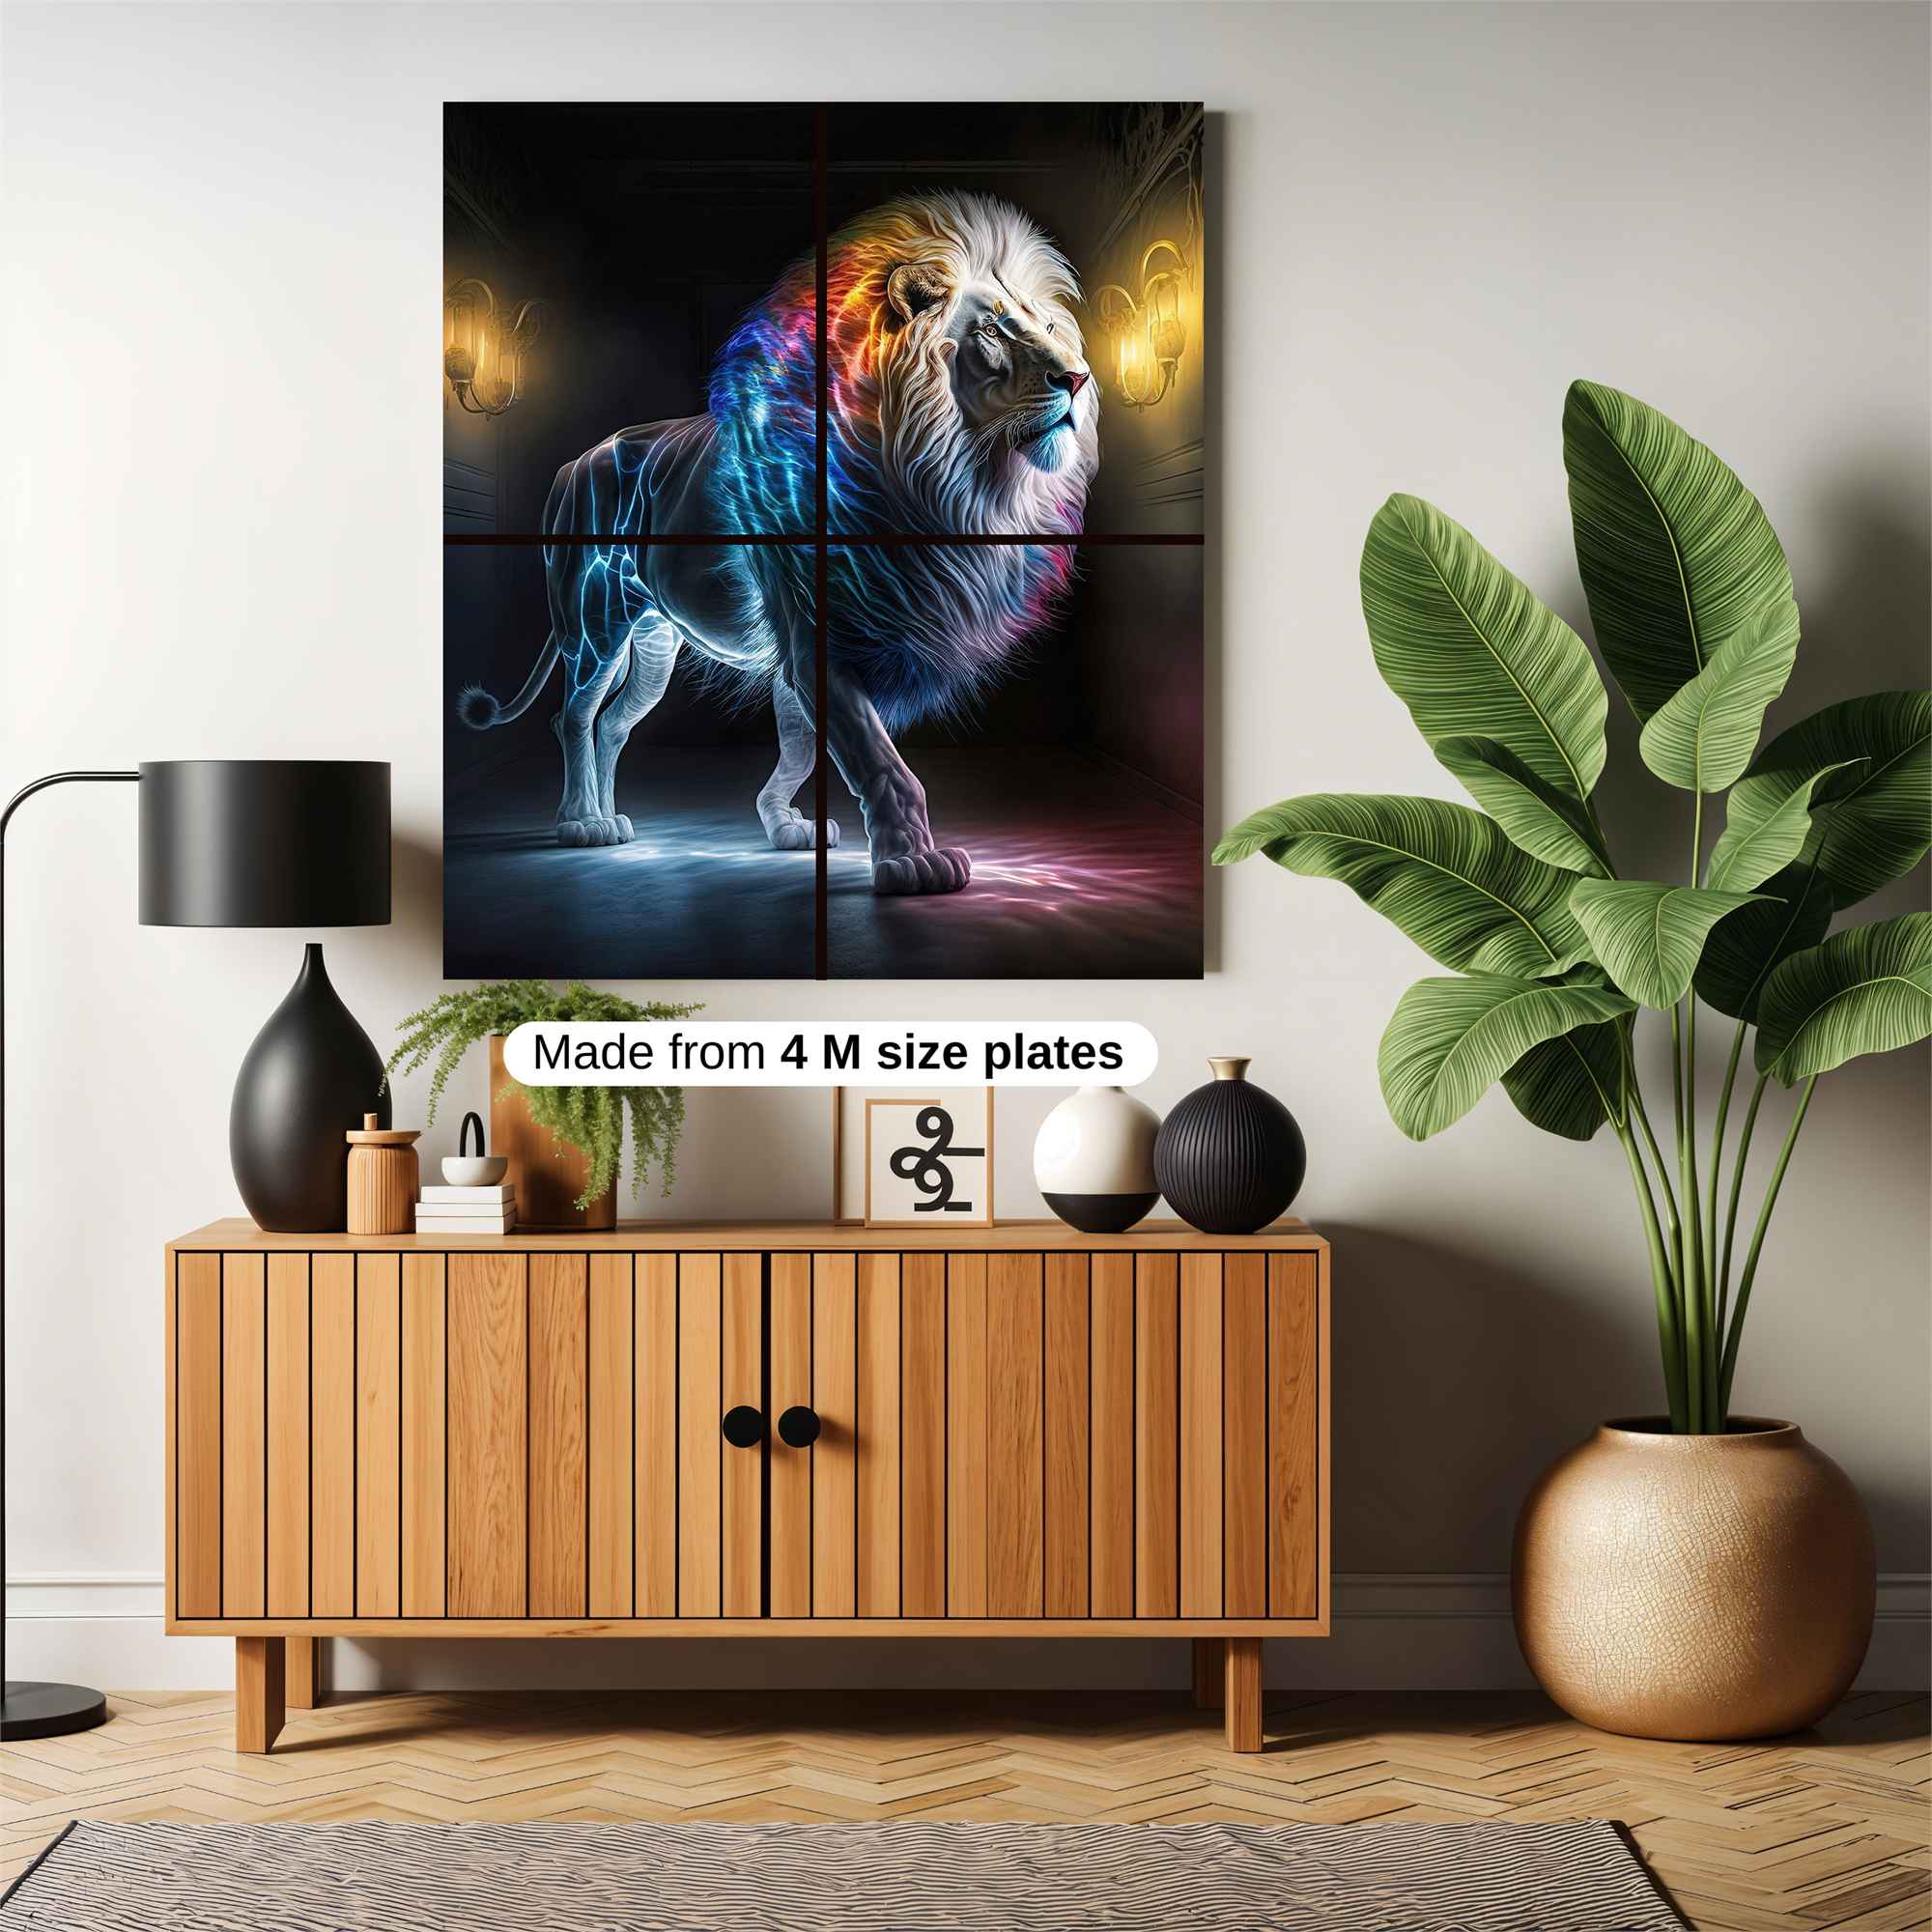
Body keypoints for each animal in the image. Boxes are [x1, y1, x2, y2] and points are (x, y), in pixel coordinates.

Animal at [456, 191, 1099, 895]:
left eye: (1048, 326)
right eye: (994, 331)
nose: (1078, 378)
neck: (947, 478)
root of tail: (573, 465)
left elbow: (799, 748)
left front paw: (787, 825)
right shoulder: (817, 636)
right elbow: (882, 764)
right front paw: (911, 861)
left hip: (654, 643)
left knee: (614, 724)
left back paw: (612, 818)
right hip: (594, 621)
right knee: (573, 715)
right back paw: (580, 822)